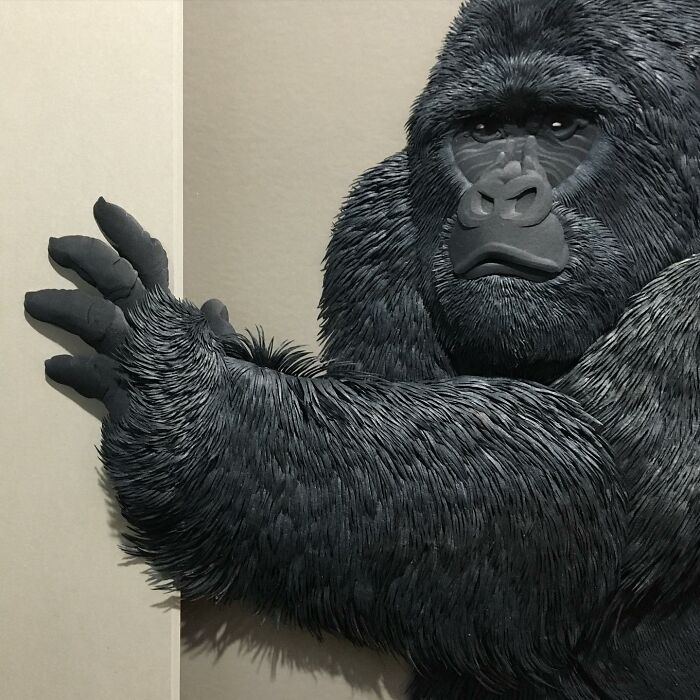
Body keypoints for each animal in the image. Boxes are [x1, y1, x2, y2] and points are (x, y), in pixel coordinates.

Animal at [24, 0, 700, 697]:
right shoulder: (376, 221)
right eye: (483, 130)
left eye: (562, 125)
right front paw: (201, 374)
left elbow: (584, 515)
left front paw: (182, 390)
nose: (500, 194)